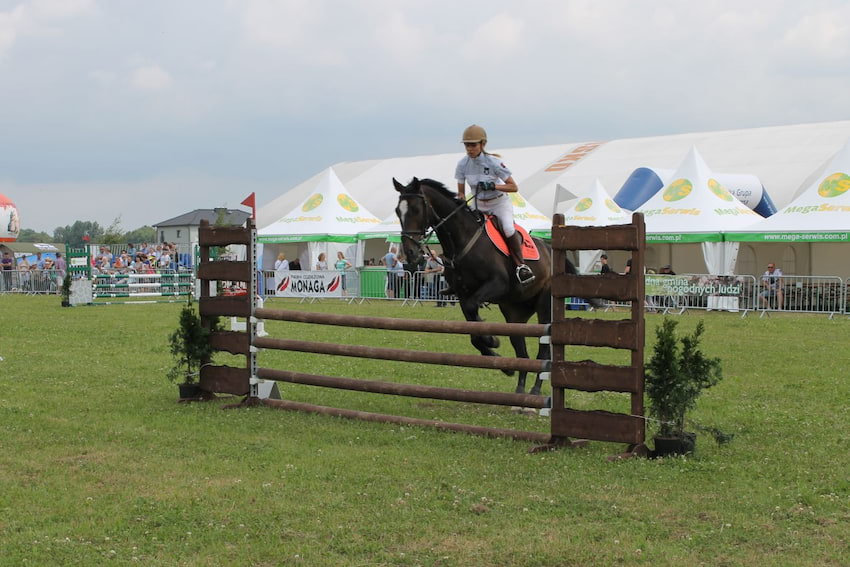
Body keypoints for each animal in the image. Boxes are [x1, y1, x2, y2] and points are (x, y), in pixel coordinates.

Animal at [394, 176, 552, 394]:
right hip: (515, 312)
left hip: (544, 304)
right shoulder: (462, 294)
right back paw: (520, 391)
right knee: (522, 352)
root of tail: (550, 248)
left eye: (417, 209)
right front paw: (496, 353)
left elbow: (473, 313)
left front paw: (491, 340)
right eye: (397, 211)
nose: (409, 253)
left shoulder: (497, 284)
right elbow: (473, 331)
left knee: (543, 350)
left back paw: (535, 390)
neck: (462, 239)